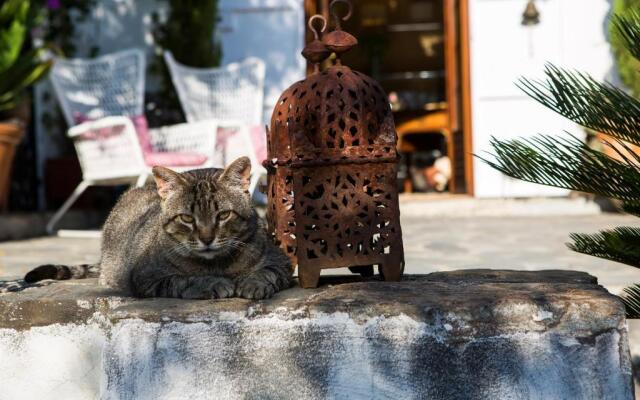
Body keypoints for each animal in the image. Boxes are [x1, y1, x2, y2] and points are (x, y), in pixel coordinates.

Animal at [25, 157, 292, 300]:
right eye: (186, 218)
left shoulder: (281, 262)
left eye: (224, 215)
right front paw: (211, 283)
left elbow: (266, 272)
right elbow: (185, 280)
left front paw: (252, 283)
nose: (206, 238)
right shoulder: (147, 276)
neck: (217, 264)